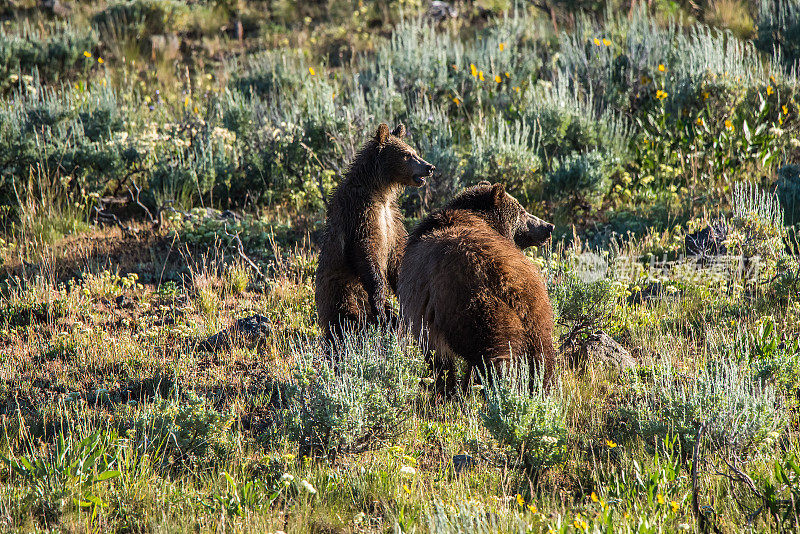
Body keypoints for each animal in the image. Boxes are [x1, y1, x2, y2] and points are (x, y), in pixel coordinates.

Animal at [316, 122, 434, 348]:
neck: (379, 192)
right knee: (345, 318)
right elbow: (365, 251)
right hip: (342, 290)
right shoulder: (360, 215)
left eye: (414, 151)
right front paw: (379, 301)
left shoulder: (392, 219)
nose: (429, 167)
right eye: (407, 154)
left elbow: (397, 254)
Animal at [400, 182, 556, 396]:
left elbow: (436, 357)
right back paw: (539, 389)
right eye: (523, 211)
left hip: (476, 310)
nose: (548, 226)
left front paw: (443, 387)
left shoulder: (422, 314)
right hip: (536, 310)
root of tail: (508, 282)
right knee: (542, 356)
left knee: (494, 358)